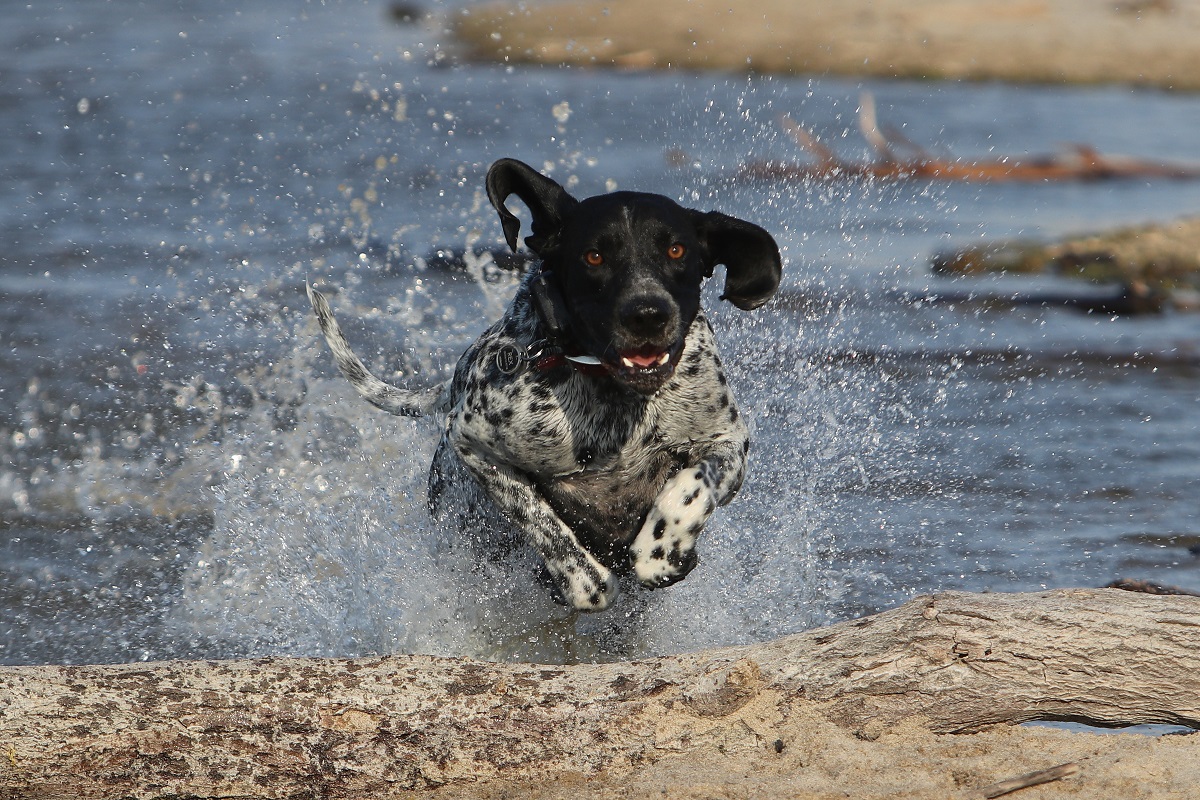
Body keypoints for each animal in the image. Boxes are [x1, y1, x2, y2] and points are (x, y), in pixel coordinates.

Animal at [304, 158, 782, 614]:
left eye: (676, 249)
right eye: (594, 257)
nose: (647, 314)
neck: (616, 397)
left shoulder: (727, 441)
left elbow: (688, 489)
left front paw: (661, 550)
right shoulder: (472, 441)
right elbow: (545, 526)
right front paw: (584, 580)